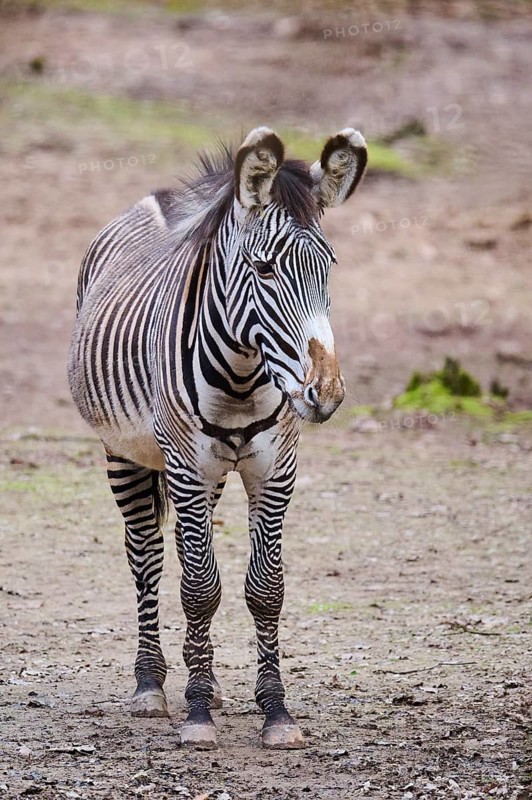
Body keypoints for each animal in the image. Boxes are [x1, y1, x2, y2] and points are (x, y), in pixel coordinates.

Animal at [68, 126, 367, 750]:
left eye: (328, 267)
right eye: (264, 269)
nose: (326, 394)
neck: (242, 374)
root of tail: (159, 198)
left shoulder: (275, 470)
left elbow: (264, 588)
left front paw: (275, 711)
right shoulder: (184, 464)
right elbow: (200, 588)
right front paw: (198, 714)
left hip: (204, 479)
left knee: (184, 555)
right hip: (126, 455)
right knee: (148, 556)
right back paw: (153, 686)